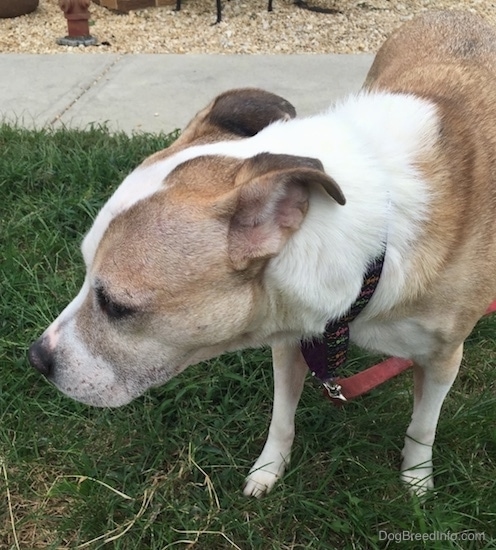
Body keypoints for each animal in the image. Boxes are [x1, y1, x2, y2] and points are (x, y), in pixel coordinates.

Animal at [28, 10, 496, 498]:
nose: (36, 358)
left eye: (118, 306)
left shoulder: (443, 359)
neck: (376, 246)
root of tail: (457, 13)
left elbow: (423, 427)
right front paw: (269, 469)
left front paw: (417, 482)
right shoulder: (291, 334)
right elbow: (281, 418)